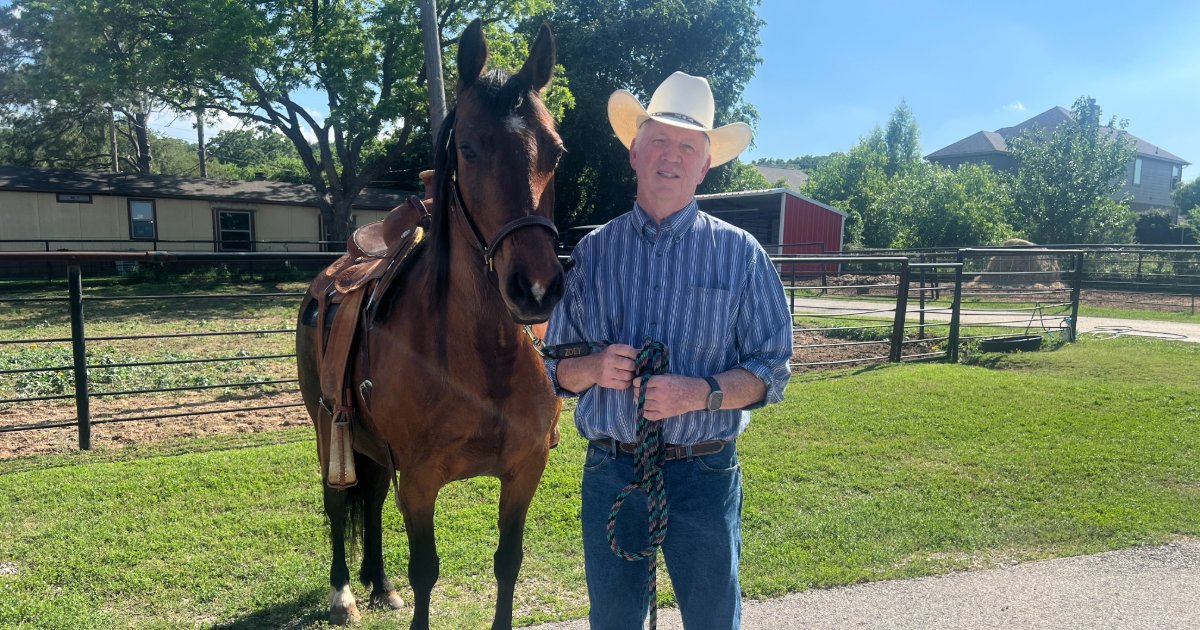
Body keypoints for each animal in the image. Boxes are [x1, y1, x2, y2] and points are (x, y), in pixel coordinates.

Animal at [295, 19, 565, 629]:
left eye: (556, 152)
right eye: (468, 148)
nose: (536, 287)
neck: (482, 357)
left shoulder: (525, 470)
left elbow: (508, 563)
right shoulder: (418, 483)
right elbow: (426, 572)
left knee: (370, 497)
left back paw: (380, 584)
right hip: (327, 428)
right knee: (337, 501)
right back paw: (344, 593)